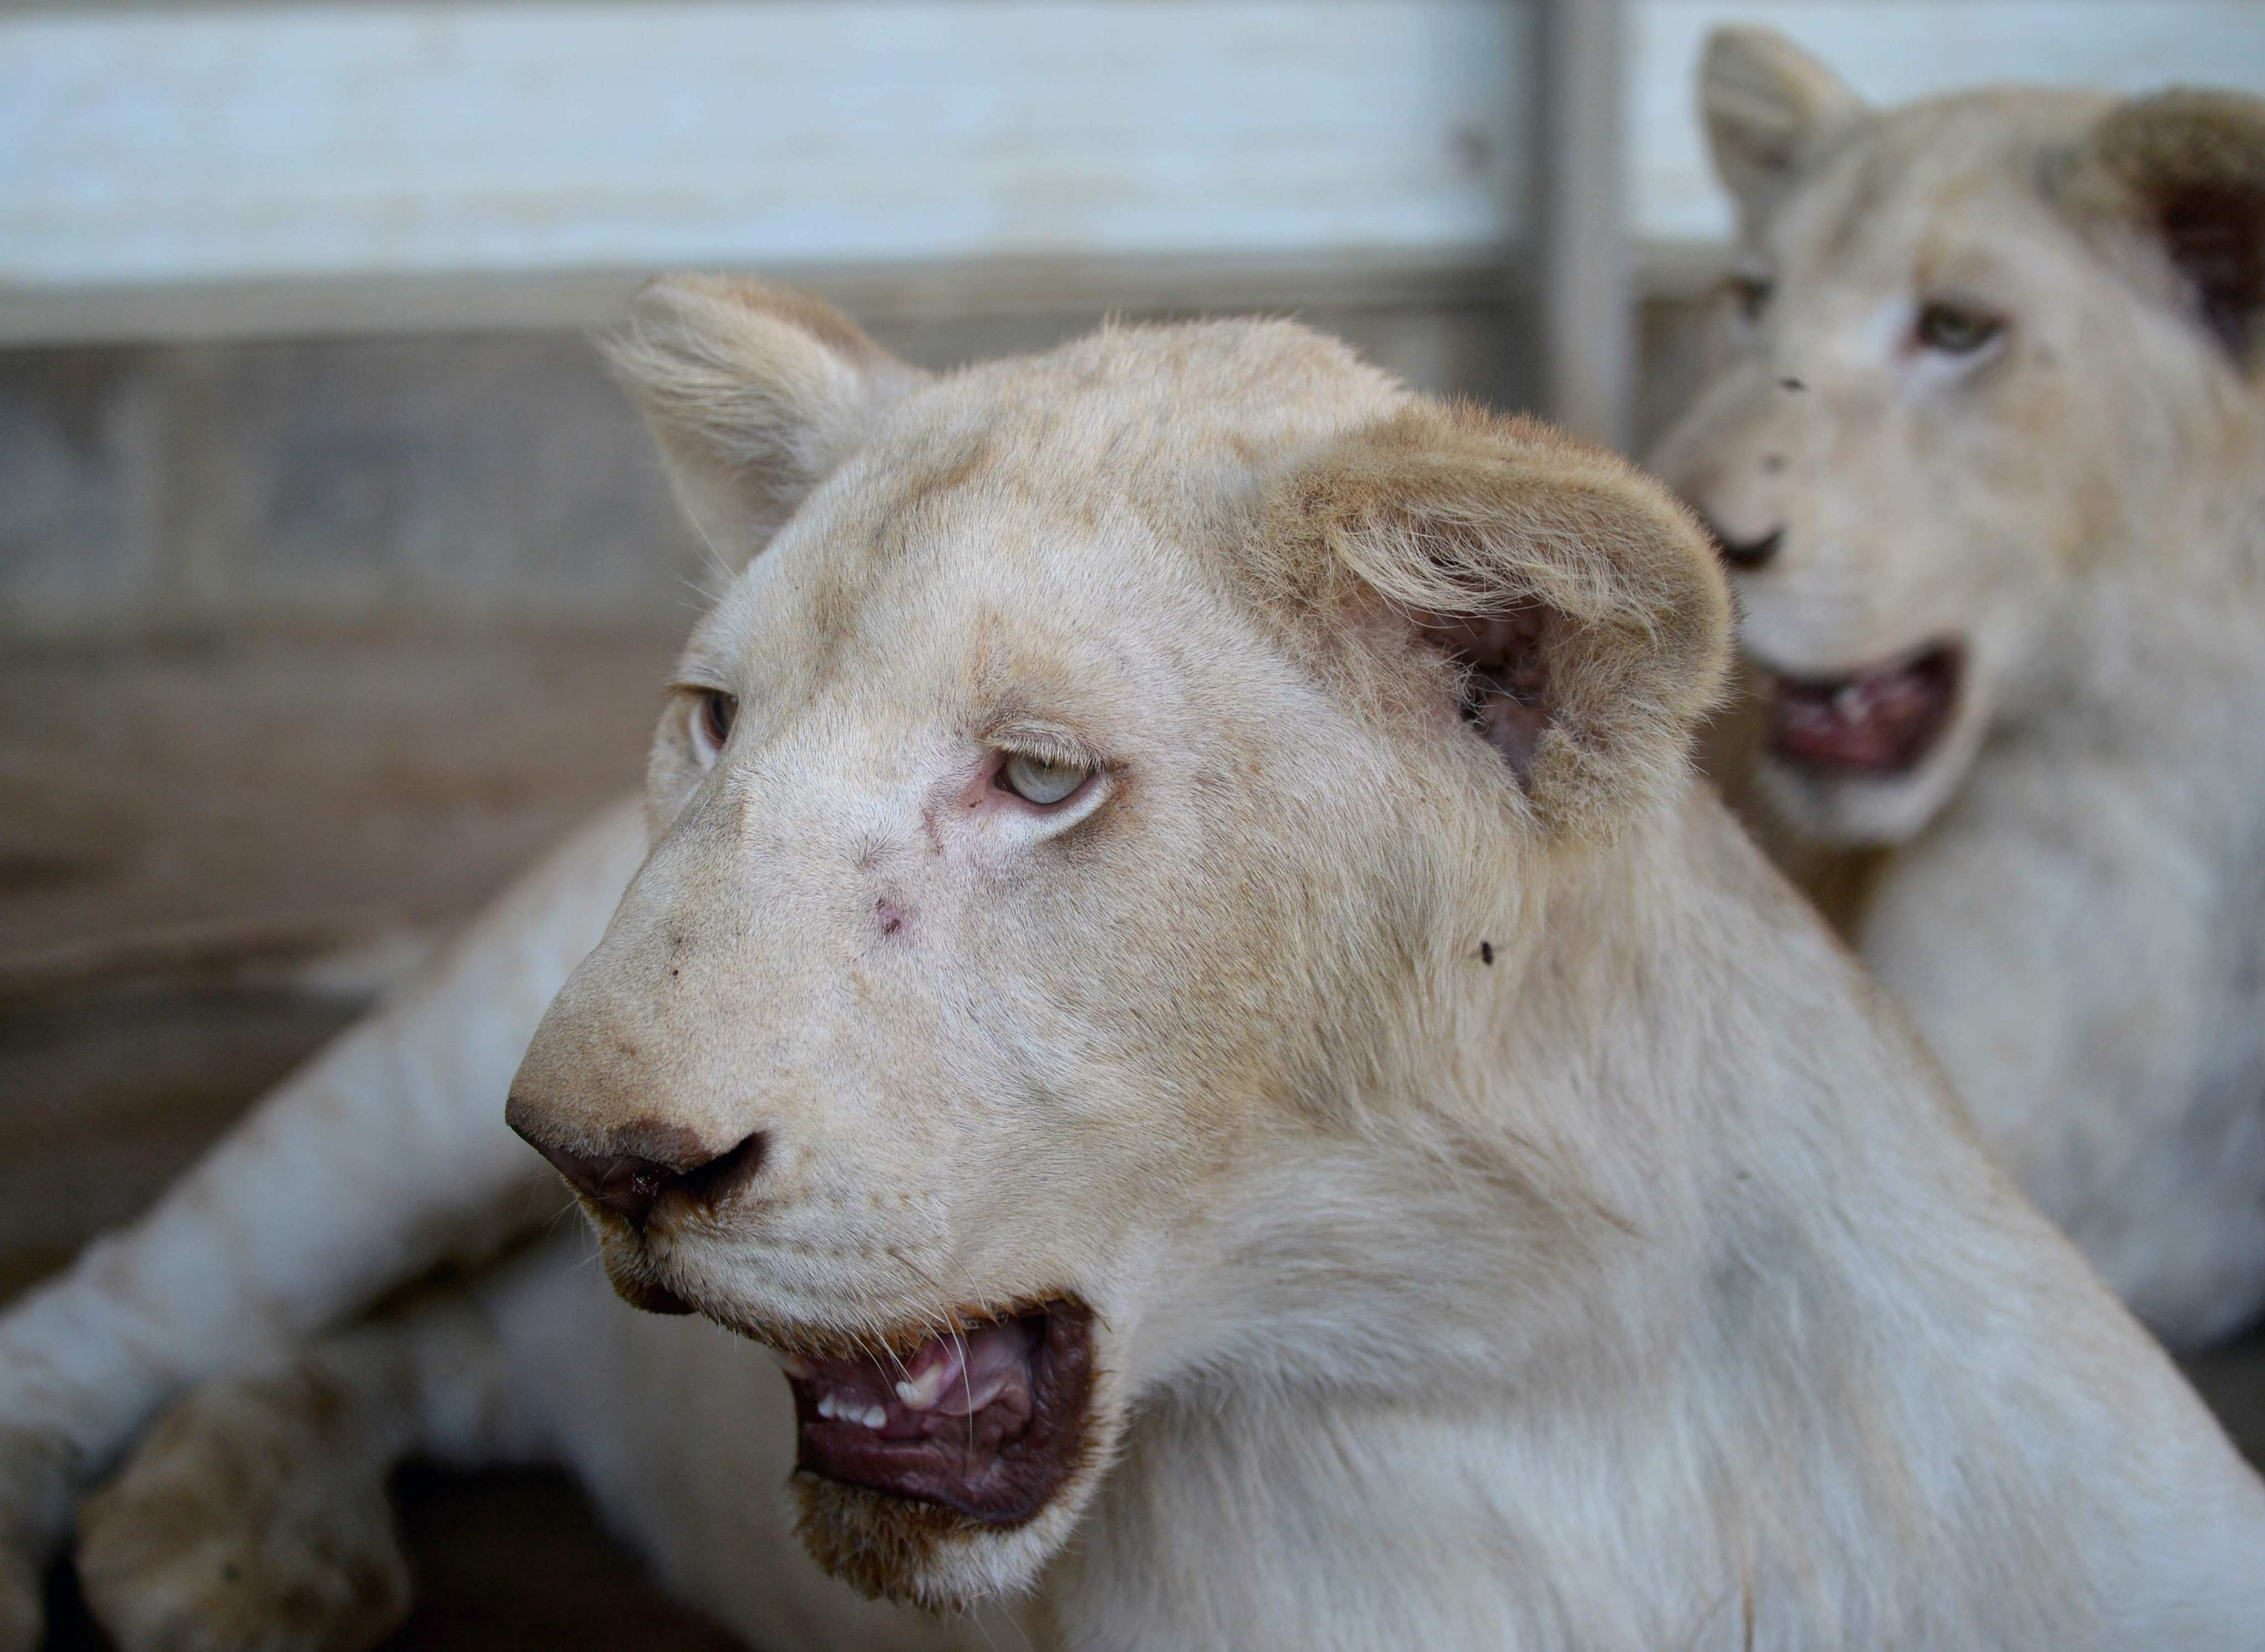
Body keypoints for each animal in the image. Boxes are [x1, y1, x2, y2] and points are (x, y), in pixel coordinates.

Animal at [0, 283, 2256, 1649]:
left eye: (1039, 777)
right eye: (715, 721)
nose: (597, 1159)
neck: (1528, 1372)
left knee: (435, 1339)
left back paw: (235, 1536)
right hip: (409, 1083)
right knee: (137, 1308)